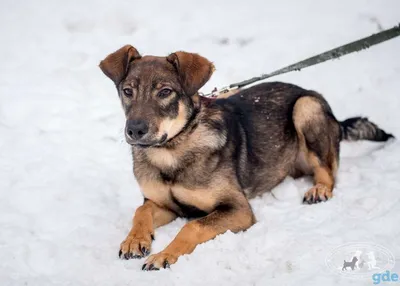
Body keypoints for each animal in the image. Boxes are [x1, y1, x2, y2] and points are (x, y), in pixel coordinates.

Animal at [98, 44, 392, 270]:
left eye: (165, 92)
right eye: (127, 91)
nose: (135, 130)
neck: (172, 150)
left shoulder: (238, 209)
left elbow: (193, 227)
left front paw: (164, 255)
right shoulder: (164, 205)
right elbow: (141, 210)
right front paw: (135, 240)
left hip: (306, 107)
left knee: (328, 170)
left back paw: (319, 189)